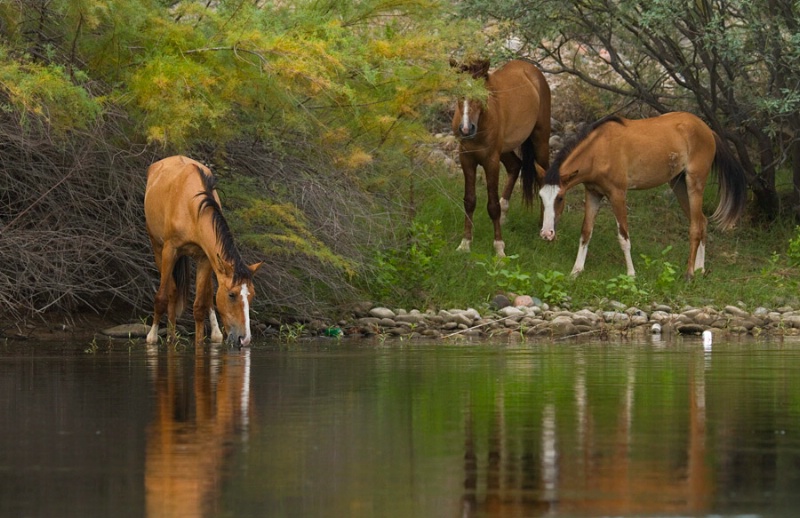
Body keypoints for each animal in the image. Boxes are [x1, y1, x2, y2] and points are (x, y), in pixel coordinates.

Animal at [144, 156, 262, 348]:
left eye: (252, 295)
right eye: (231, 295)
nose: (244, 339)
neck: (191, 207)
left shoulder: (205, 257)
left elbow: (200, 306)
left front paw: (199, 344)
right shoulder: (170, 250)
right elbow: (161, 297)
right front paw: (152, 337)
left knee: (205, 294)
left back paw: (212, 334)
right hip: (157, 247)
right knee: (171, 290)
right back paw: (170, 336)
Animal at [450, 57, 552, 258]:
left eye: (482, 93)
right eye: (459, 92)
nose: (466, 129)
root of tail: (531, 70)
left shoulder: (491, 161)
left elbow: (492, 206)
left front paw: (499, 247)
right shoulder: (467, 159)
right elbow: (469, 201)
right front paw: (465, 243)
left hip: (540, 141)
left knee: (544, 177)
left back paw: (542, 227)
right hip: (505, 149)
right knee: (515, 166)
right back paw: (506, 215)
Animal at [536, 111, 752, 278]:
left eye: (560, 198)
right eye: (541, 198)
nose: (546, 234)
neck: (600, 150)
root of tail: (708, 130)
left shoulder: (617, 194)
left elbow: (623, 235)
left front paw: (631, 274)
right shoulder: (593, 193)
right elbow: (586, 232)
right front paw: (576, 271)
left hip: (695, 184)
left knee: (695, 227)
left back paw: (689, 273)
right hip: (679, 185)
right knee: (702, 221)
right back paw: (700, 269)